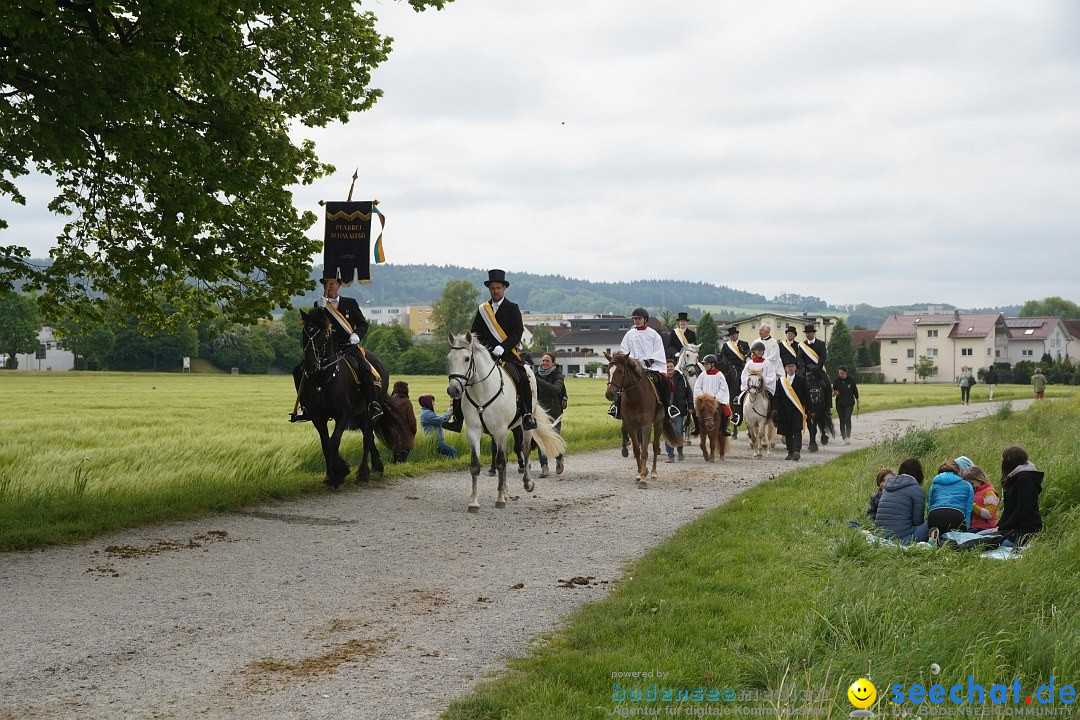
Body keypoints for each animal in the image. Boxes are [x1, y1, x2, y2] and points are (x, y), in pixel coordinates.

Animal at [295, 310, 406, 490]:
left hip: (371, 411)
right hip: (359, 414)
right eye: (305, 333)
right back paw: (377, 467)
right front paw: (330, 475)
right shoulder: (318, 416)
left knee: (367, 437)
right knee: (369, 437)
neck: (323, 378)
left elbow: (334, 442)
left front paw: (340, 473)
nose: (310, 364)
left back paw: (363, 473)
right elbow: (325, 444)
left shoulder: (343, 414)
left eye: (324, 335)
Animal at [447, 332, 565, 511]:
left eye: (467, 359)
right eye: (449, 358)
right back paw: (505, 489)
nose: (453, 390)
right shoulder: (474, 431)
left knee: (524, 450)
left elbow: (502, 462)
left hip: (525, 427)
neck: (482, 391)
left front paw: (500, 499)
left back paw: (527, 483)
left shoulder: (501, 430)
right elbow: (475, 465)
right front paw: (474, 502)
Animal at [604, 349, 678, 490]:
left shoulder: (646, 425)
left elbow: (644, 451)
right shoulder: (631, 425)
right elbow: (637, 450)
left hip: (658, 422)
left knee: (655, 447)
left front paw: (643, 479)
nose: (609, 394)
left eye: (620, 371)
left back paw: (653, 473)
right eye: (608, 370)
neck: (636, 397)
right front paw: (639, 474)